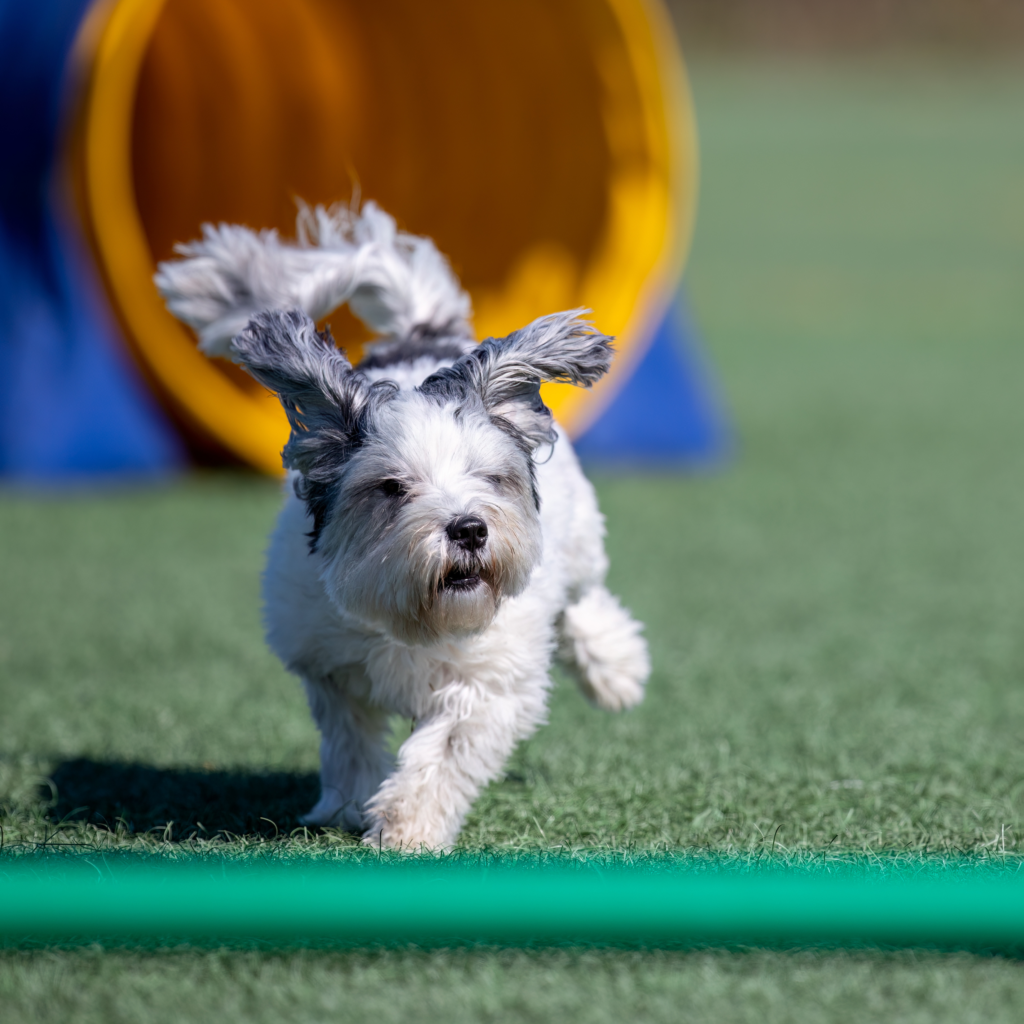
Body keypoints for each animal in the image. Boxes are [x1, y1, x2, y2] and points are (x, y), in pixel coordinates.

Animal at [156, 201, 647, 847]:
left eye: (489, 477)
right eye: (392, 487)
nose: (468, 529)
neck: (413, 616)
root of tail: (422, 334)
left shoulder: (487, 683)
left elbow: (442, 753)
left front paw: (404, 825)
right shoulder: (329, 665)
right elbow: (350, 743)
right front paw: (344, 807)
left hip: (580, 539)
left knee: (584, 599)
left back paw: (616, 671)